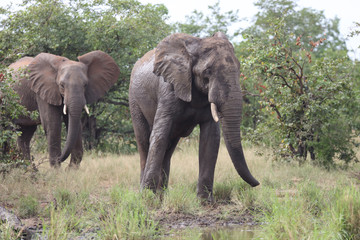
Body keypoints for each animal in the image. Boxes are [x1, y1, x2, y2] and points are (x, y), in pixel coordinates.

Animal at [129, 32, 258, 201]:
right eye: (207, 71)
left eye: (239, 68)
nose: (257, 184)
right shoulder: (169, 87)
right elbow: (159, 136)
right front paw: (147, 199)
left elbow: (211, 139)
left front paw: (204, 202)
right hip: (134, 101)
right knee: (144, 142)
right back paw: (148, 194)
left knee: (169, 148)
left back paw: (161, 196)